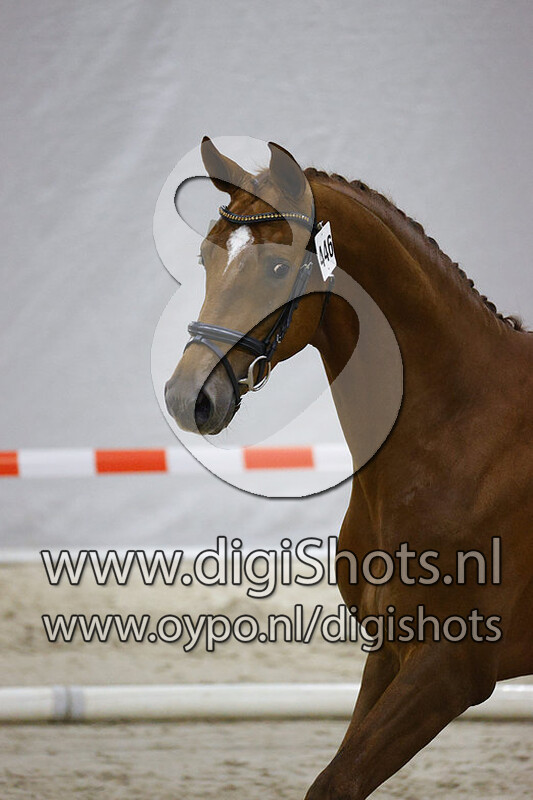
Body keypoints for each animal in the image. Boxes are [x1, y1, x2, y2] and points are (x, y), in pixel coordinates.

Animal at [164, 137, 533, 799]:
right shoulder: (388, 651)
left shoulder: (452, 668)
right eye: (207, 254)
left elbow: (336, 782)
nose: (188, 398)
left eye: (278, 268)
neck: (462, 433)